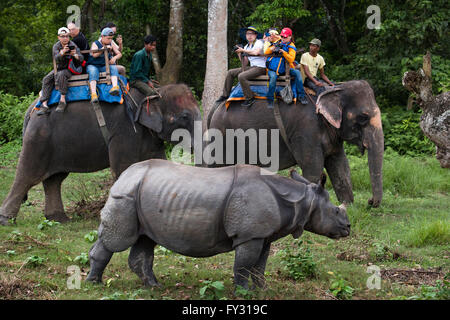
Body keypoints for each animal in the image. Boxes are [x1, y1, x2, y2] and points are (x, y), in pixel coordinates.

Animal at [0, 84, 200, 226]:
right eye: (184, 116)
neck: (153, 92)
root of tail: (31, 108)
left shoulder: (150, 137)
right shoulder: (124, 131)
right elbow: (123, 168)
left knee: (54, 179)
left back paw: (59, 219)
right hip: (38, 138)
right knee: (27, 175)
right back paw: (7, 220)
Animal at [207, 80, 384, 208]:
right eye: (363, 118)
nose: (370, 201)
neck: (332, 88)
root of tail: (218, 104)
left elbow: (340, 166)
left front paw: (347, 206)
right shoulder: (305, 131)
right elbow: (313, 169)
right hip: (222, 134)